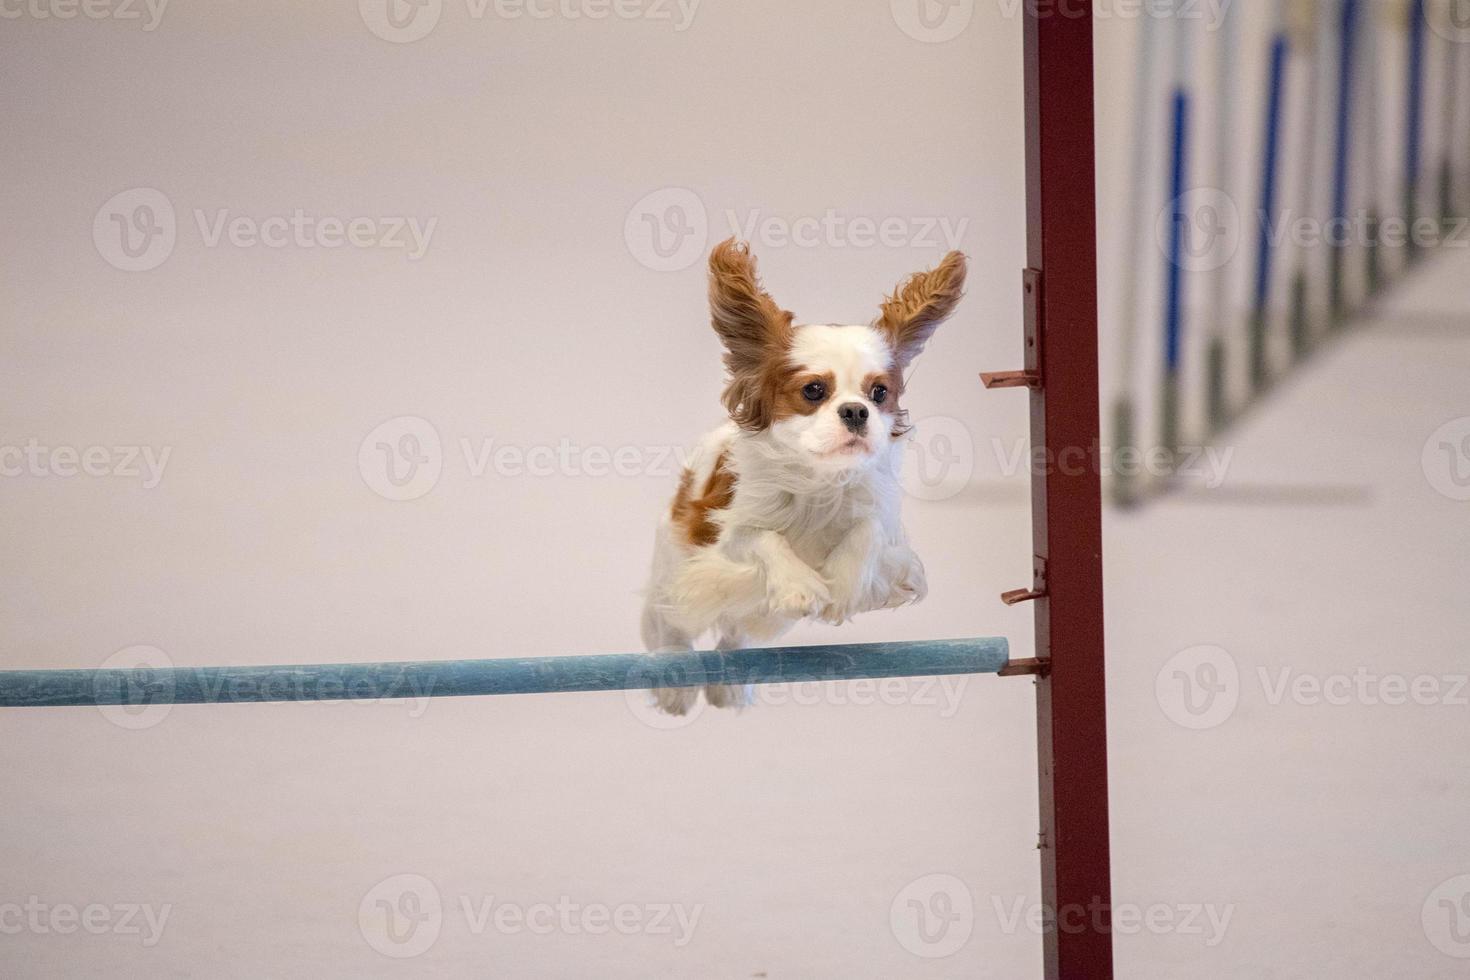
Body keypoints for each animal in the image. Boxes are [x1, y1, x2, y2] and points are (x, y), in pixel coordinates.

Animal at [640, 238, 964, 714]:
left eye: (879, 393)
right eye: (814, 390)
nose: (856, 411)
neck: (819, 480)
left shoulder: (881, 523)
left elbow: (867, 530)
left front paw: (844, 587)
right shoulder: (731, 531)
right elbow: (763, 537)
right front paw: (802, 588)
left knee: (733, 633)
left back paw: (728, 683)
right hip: (676, 571)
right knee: (672, 626)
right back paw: (675, 683)